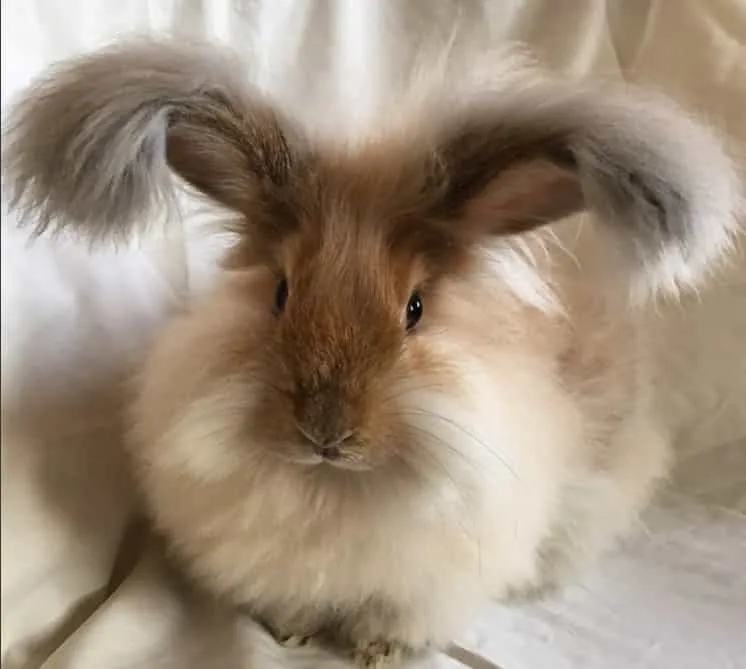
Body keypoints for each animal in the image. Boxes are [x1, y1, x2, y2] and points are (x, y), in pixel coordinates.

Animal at [2, 38, 741, 667]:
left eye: (415, 308)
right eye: (280, 292)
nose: (325, 431)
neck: (335, 487)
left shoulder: (432, 579)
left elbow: (397, 617)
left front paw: (377, 651)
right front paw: (294, 633)